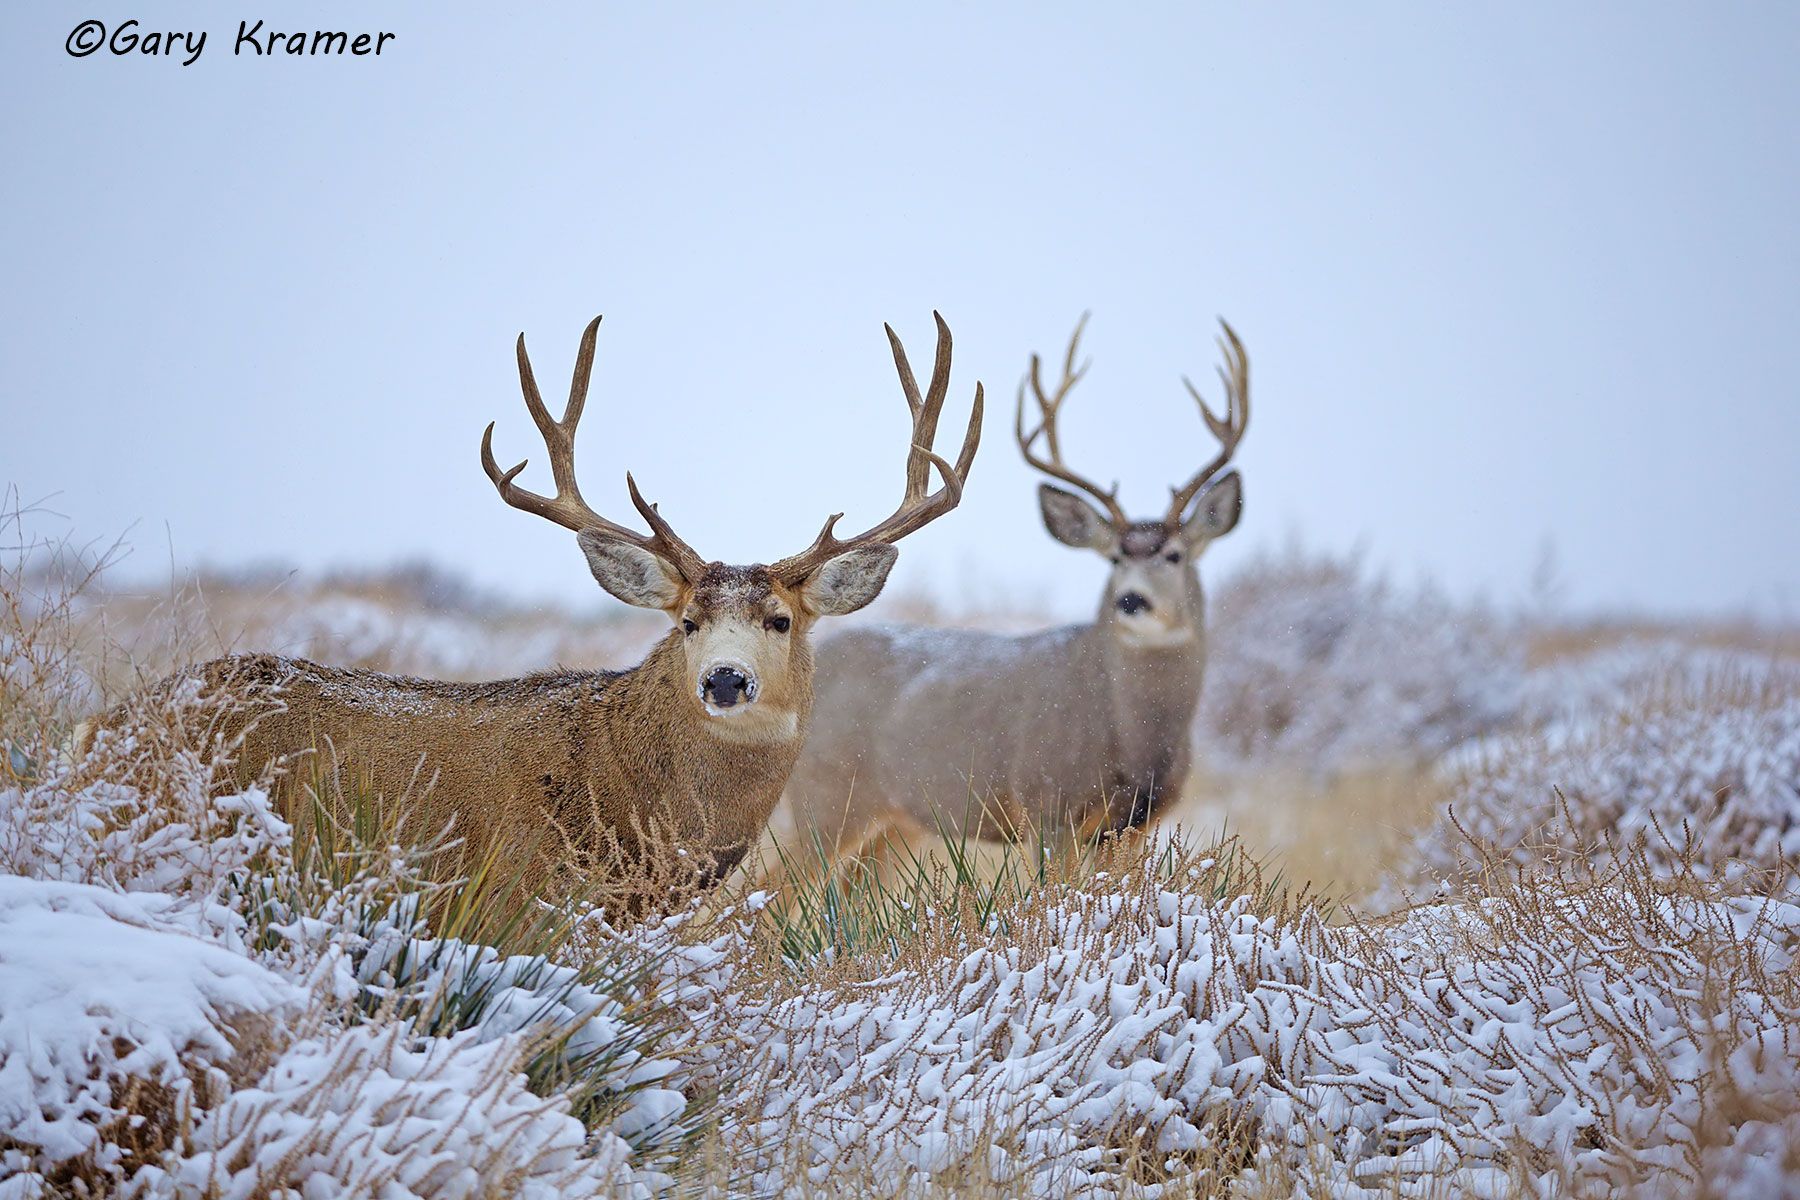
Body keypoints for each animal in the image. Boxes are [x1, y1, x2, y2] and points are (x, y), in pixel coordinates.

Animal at [776, 315, 1246, 868]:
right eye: (1114, 558)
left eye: (1174, 555)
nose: (1131, 600)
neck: (1133, 739)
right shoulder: (1045, 805)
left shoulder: (1134, 827)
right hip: (825, 799)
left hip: (895, 826)